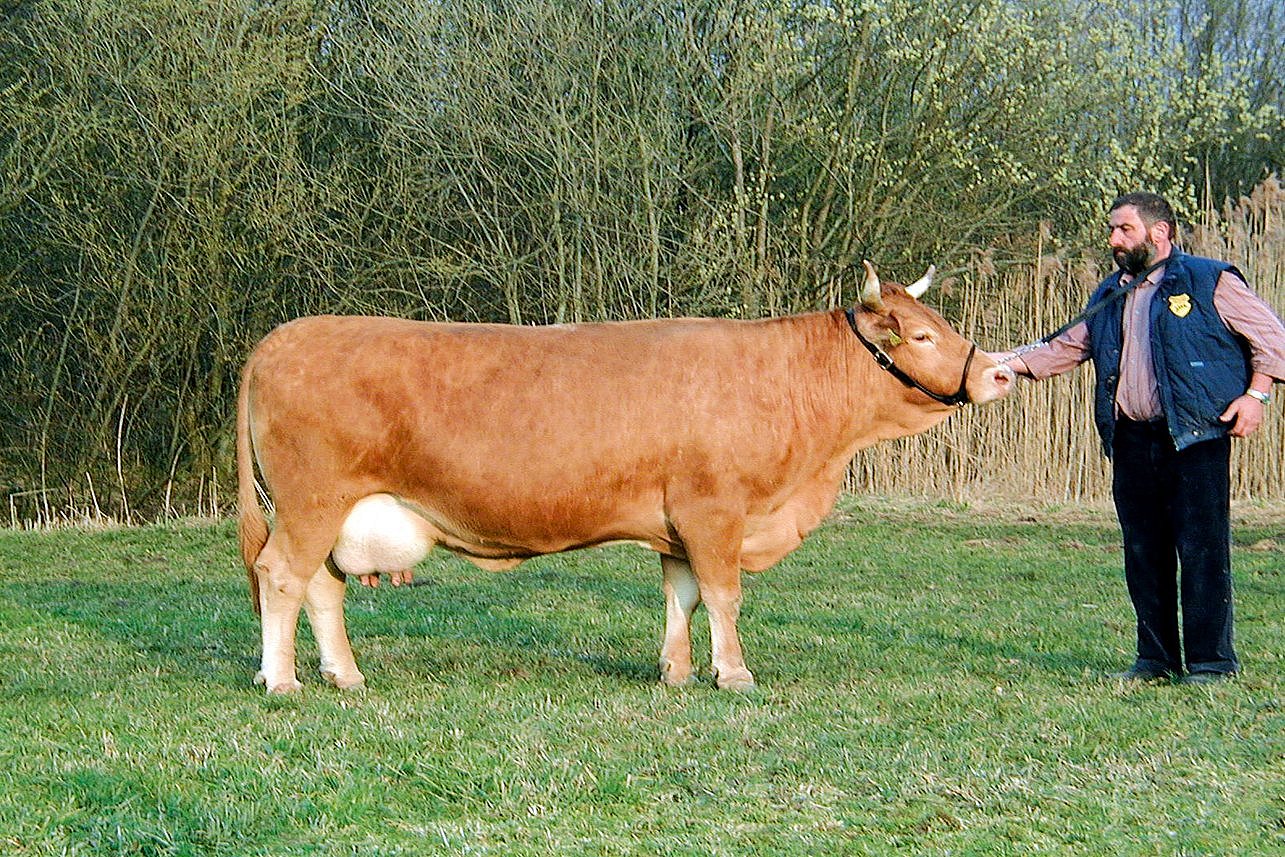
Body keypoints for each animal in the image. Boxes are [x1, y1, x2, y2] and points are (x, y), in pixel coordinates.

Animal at [236, 259, 1007, 688]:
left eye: (939, 322)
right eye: (922, 335)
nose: (999, 371)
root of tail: (281, 337)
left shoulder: (678, 525)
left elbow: (681, 598)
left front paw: (676, 671)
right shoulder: (714, 511)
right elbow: (723, 596)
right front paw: (734, 674)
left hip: (333, 512)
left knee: (321, 586)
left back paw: (344, 675)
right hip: (311, 501)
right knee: (281, 576)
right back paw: (282, 680)